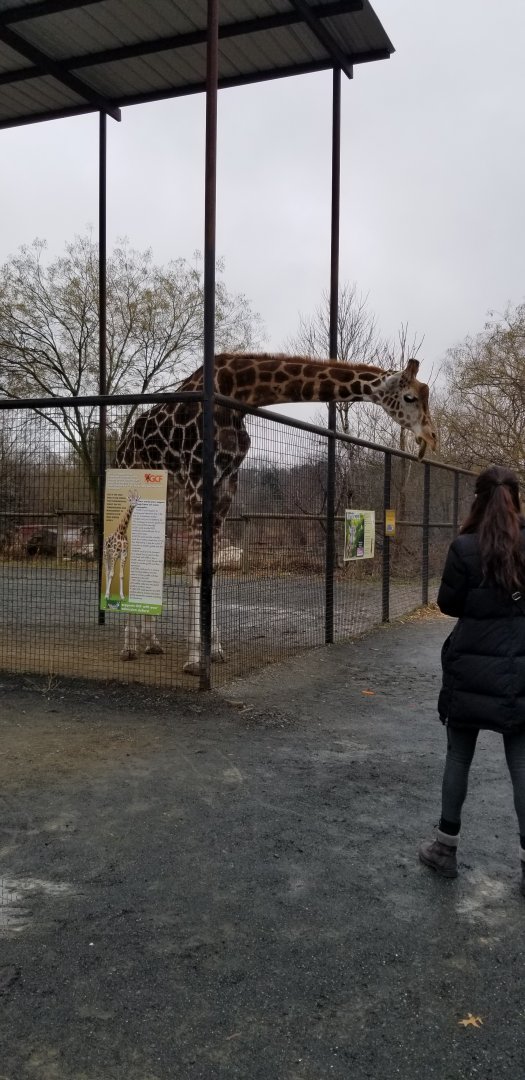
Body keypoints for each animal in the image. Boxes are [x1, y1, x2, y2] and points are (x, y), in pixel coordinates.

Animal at [115, 352, 437, 672]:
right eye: (409, 397)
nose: (431, 436)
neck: (235, 392)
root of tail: (121, 446)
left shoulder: (227, 482)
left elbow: (212, 566)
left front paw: (215, 649)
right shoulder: (198, 476)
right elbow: (196, 565)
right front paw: (195, 658)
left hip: (165, 490)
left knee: (150, 552)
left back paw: (151, 642)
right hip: (137, 480)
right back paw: (129, 646)